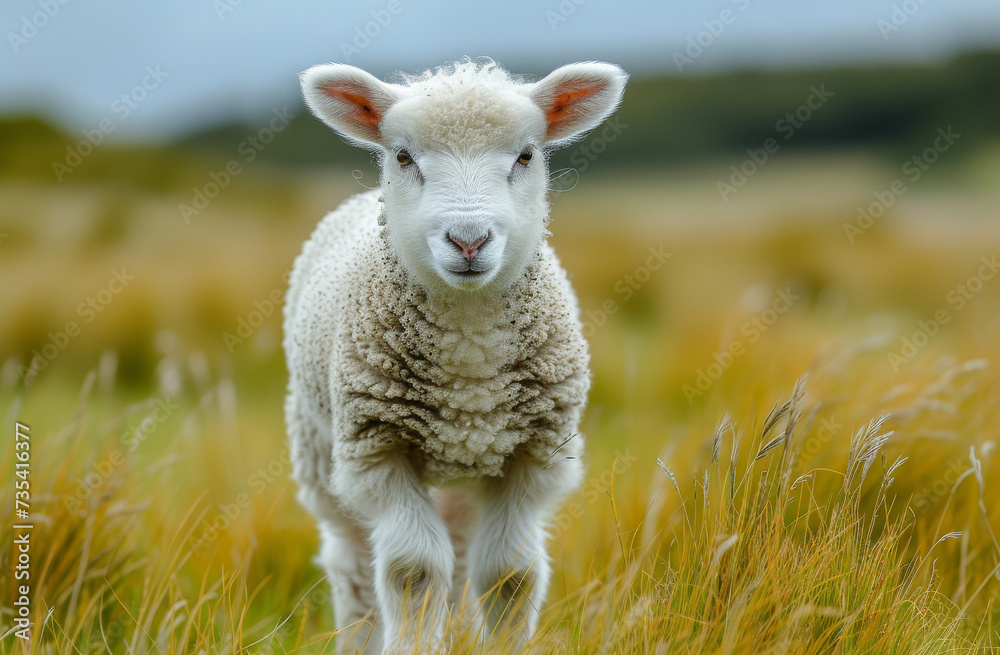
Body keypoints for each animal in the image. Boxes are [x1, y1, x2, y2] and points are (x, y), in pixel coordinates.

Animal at [283, 57, 627, 654]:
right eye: (403, 156)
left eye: (526, 155)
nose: (468, 240)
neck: (469, 347)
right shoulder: (378, 449)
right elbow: (414, 570)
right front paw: (415, 643)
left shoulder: (533, 454)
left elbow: (509, 574)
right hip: (319, 448)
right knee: (353, 565)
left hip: (472, 465)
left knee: (464, 553)